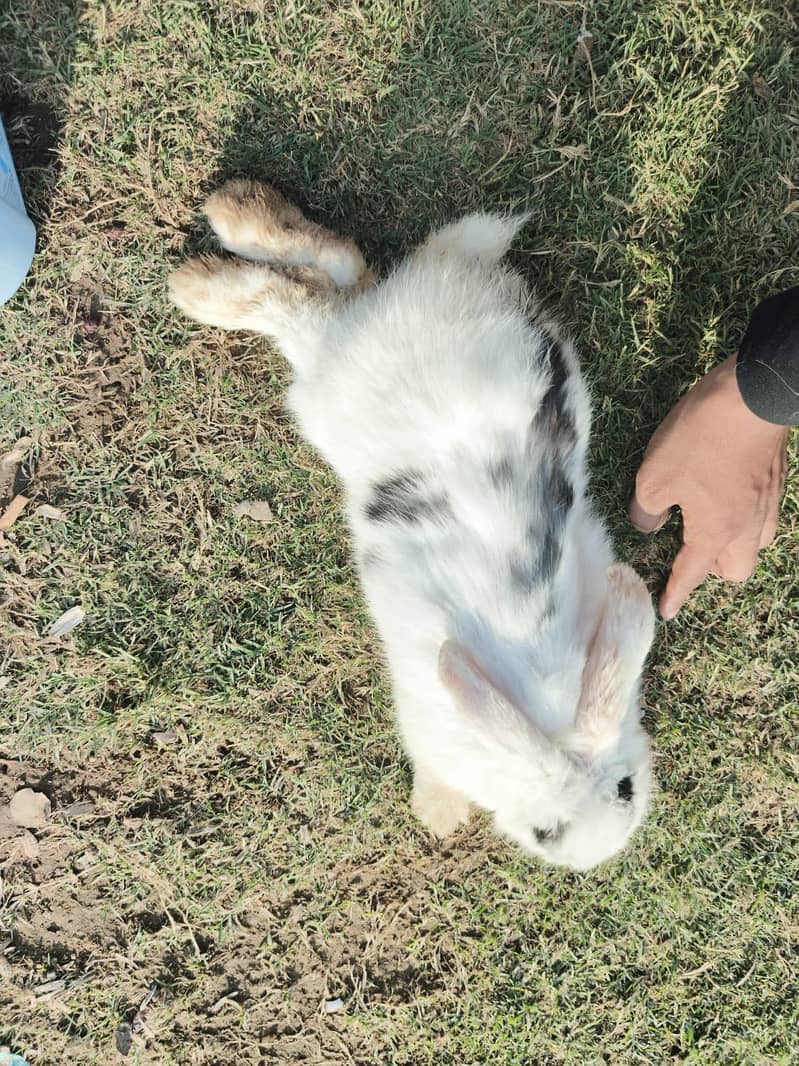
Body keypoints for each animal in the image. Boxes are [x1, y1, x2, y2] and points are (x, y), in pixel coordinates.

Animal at [169, 180, 656, 871]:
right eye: (546, 831)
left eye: (627, 790)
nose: (587, 857)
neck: (545, 719)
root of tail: (453, 283)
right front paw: (439, 813)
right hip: (332, 381)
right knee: (299, 300)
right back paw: (201, 275)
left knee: (338, 271)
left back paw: (234, 216)